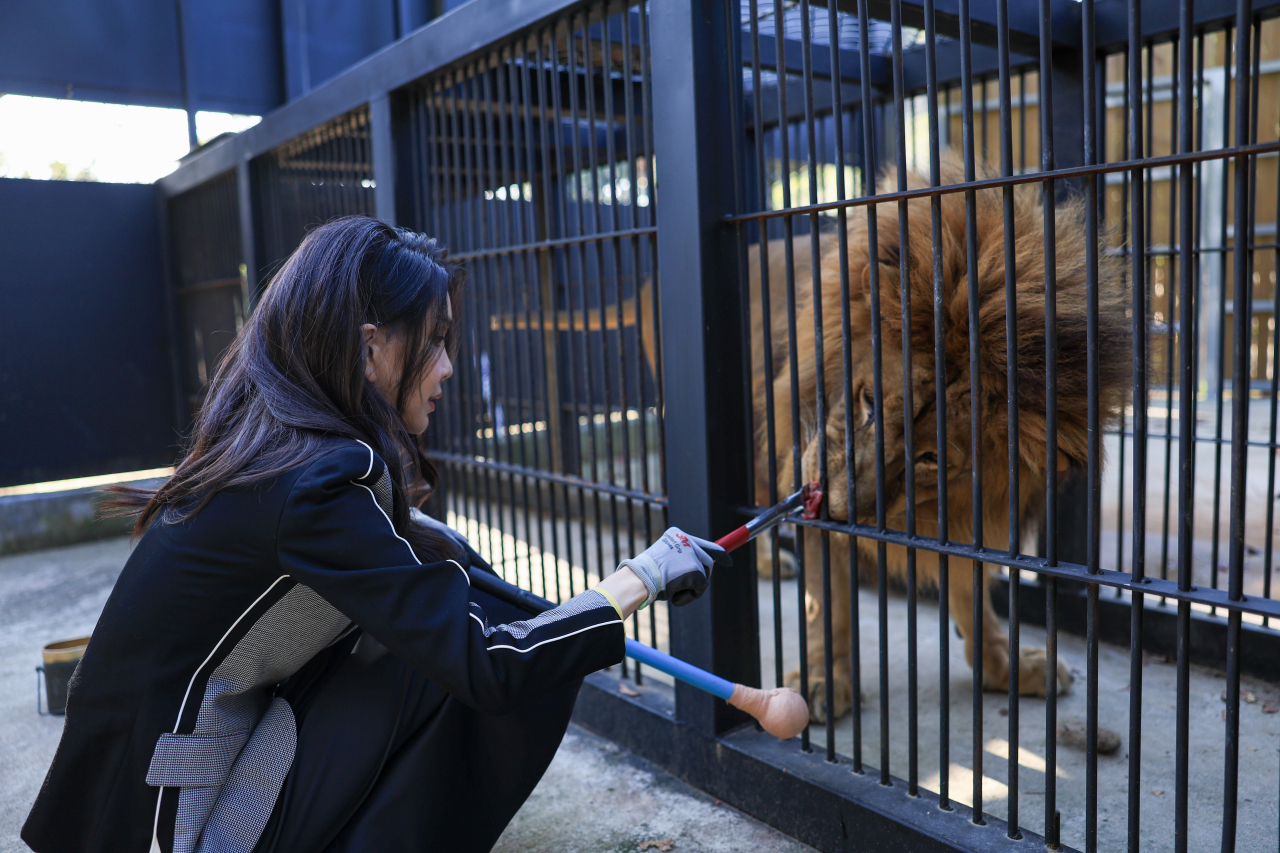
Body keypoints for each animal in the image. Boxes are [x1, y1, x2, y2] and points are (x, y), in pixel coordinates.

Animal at [747, 157, 1131, 717]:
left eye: (931, 458)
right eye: (867, 401)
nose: (840, 509)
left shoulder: (970, 512)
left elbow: (973, 593)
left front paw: (1005, 666)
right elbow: (828, 601)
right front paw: (823, 677)